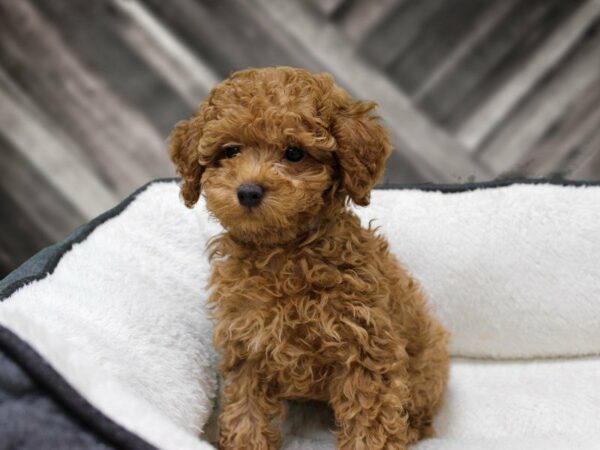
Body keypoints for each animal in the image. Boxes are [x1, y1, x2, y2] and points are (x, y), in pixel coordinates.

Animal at [169, 67, 450, 450]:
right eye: (230, 151)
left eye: (294, 152)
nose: (248, 191)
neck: (283, 252)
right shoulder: (248, 346)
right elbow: (245, 411)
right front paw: (246, 442)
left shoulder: (365, 346)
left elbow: (371, 420)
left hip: (424, 371)